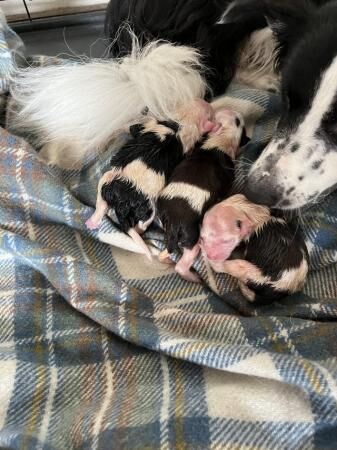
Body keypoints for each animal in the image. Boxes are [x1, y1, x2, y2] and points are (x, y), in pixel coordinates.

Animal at [85, 100, 214, 258]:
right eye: (209, 114)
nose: (205, 102)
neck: (181, 121)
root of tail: (122, 200)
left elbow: (133, 128)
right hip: (145, 204)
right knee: (140, 222)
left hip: (109, 183)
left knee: (102, 203)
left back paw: (92, 222)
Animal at [156, 108, 247, 282]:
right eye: (238, 121)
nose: (233, 110)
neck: (220, 138)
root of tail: (173, 222)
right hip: (191, 238)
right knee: (182, 264)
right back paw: (195, 278)